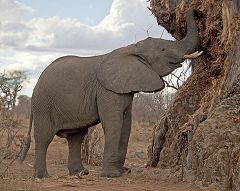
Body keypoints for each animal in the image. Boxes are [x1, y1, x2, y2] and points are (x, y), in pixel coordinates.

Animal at [19, 9, 202, 179]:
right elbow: (114, 123)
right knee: (44, 137)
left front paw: (121, 172)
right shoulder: (107, 90)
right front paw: (111, 175)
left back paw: (81, 173)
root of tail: (37, 82)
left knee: (76, 136)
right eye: (163, 49)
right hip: (43, 103)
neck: (132, 48)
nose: (195, 10)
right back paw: (42, 176)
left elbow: (126, 124)